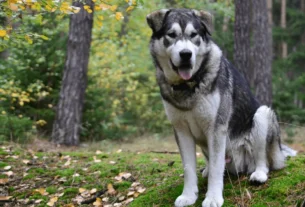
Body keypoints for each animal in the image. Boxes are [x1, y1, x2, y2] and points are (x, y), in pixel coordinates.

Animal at [146, 8, 296, 207]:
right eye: (171, 34)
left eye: (194, 35)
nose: (186, 54)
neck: (189, 86)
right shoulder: (181, 130)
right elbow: (188, 168)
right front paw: (189, 195)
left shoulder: (216, 128)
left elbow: (217, 169)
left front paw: (213, 198)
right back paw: (207, 170)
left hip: (262, 116)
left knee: (263, 160)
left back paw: (259, 174)